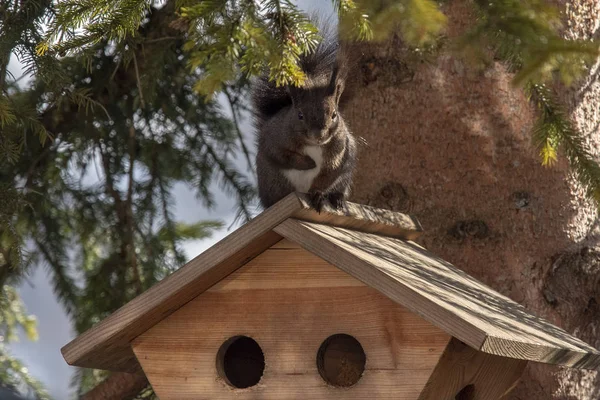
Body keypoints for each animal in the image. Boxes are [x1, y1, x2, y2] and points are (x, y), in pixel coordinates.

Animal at [252, 21, 356, 212]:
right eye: (300, 115)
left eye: (334, 114)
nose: (318, 136)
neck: (313, 146)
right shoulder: (273, 138)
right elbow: (281, 155)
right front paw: (308, 163)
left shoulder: (340, 150)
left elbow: (328, 175)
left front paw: (318, 193)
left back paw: (337, 198)